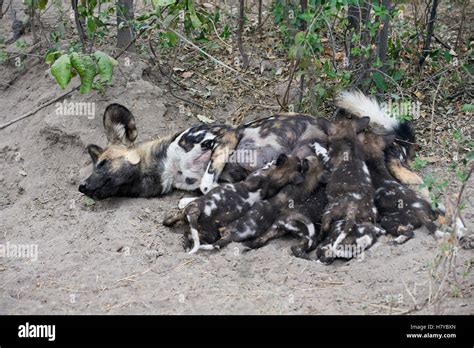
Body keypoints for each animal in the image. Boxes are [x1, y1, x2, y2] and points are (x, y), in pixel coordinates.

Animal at [162, 154, 304, 254]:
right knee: (168, 221)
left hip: (207, 232)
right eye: (298, 161)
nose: (303, 159)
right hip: (185, 213)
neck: (270, 178)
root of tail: (198, 211)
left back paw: (186, 245)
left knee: (188, 233)